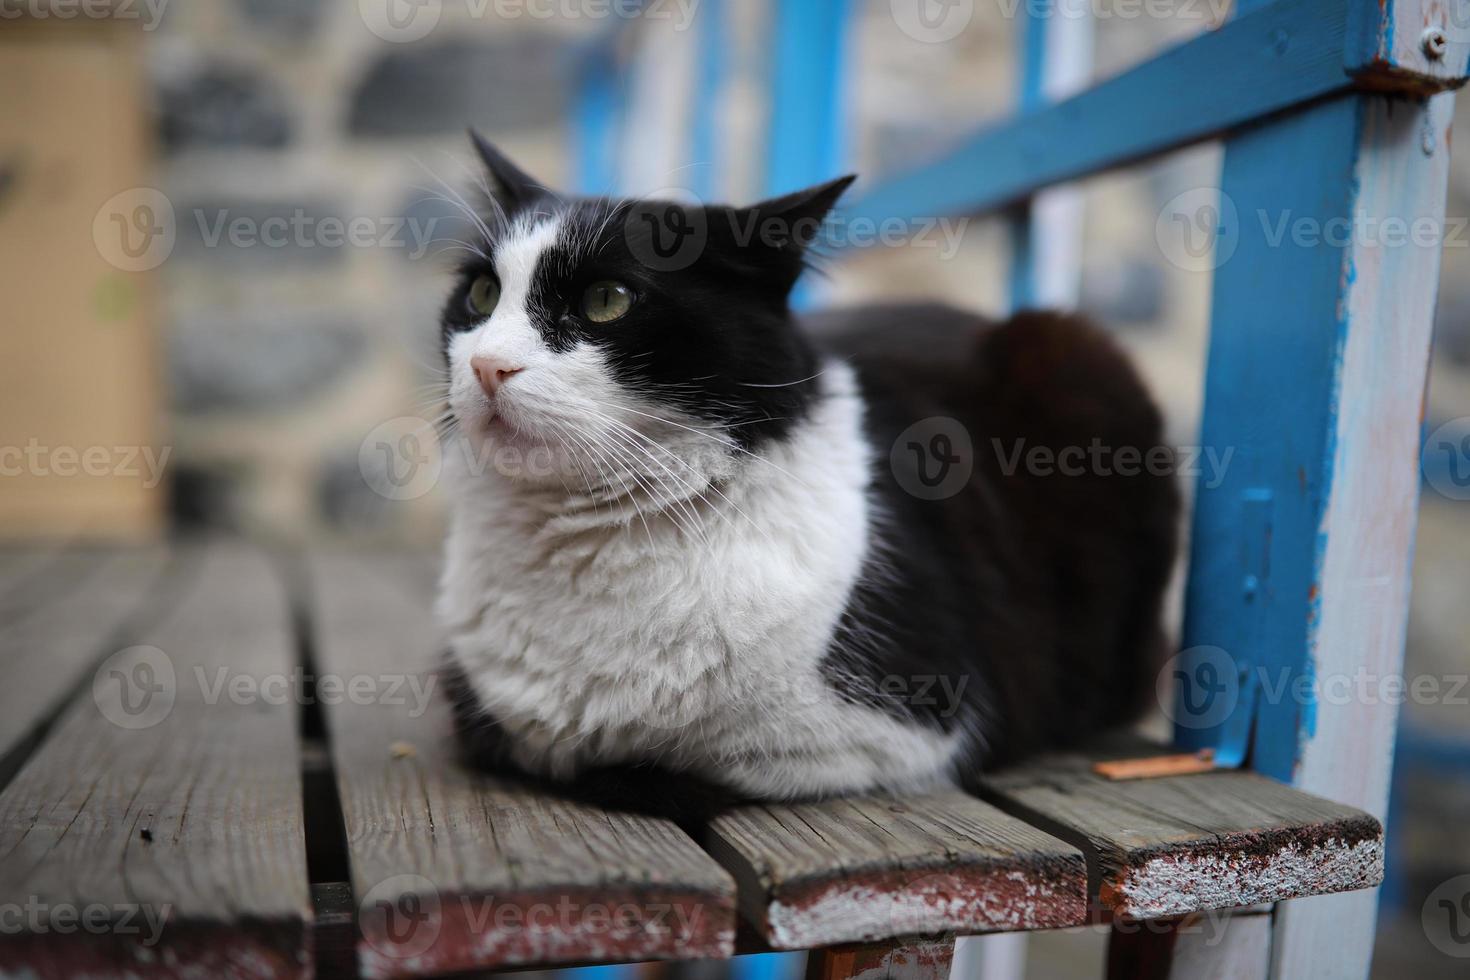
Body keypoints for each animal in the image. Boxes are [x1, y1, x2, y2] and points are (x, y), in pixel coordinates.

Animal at [429, 134, 1176, 816]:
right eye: (483, 293)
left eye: (607, 299)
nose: (487, 365)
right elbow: (515, 739)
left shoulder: (910, 731)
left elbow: (662, 768)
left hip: (1080, 359)